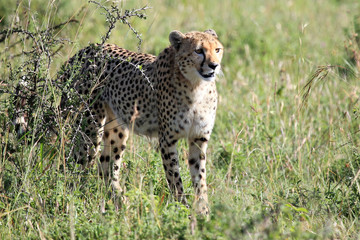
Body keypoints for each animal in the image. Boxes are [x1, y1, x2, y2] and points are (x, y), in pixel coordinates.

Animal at [62, 29, 224, 215]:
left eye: (217, 49)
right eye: (198, 51)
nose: (214, 65)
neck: (196, 85)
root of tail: (84, 51)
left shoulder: (199, 137)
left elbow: (200, 177)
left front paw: (203, 211)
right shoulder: (167, 140)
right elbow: (174, 177)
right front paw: (181, 209)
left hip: (117, 128)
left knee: (106, 165)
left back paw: (120, 201)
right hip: (90, 127)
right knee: (78, 164)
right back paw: (78, 201)